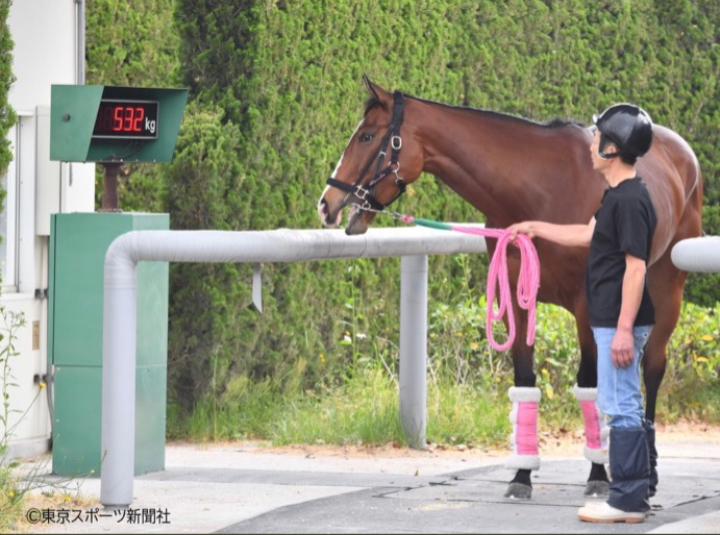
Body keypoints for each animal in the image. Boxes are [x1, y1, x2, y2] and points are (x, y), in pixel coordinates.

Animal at [317, 76, 704, 500]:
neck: (540, 187)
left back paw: (646, 469)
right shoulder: (516, 299)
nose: (326, 204)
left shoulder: (588, 304)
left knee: (652, 368)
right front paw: (521, 475)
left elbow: (589, 382)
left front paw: (598, 475)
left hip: (666, 289)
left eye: (367, 136)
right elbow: (525, 380)